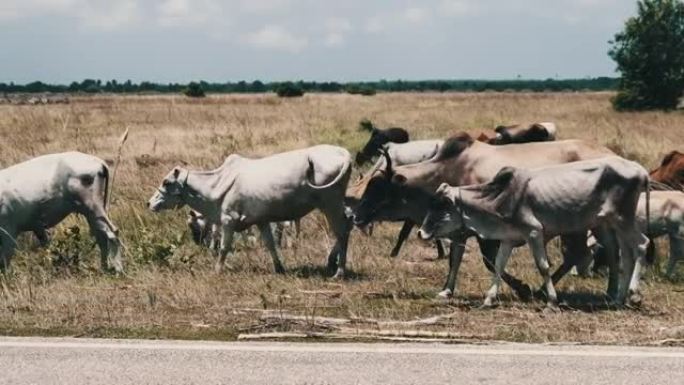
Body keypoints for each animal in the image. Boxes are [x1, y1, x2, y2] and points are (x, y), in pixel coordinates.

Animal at [149, 146, 352, 278]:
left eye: (166, 182)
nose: (149, 203)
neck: (217, 184)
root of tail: (344, 154)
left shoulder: (228, 220)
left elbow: (224, 247)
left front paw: (218, 270)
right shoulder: (261, 221)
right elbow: (270, 245)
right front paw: (279, 268)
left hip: (330, 204)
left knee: (341, 231)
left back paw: (339, 271)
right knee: (346, 227)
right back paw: (332, 263)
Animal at [352, 134, 616, 298]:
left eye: (379, 189)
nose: (356, 216)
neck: (448, 170)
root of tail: (613, 155)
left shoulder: (484, 230)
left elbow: (490, 261)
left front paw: (522, 288)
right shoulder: (458, 230)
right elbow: (455, 259)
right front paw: (446, 290)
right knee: (582, 254)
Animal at [420, 156, 648, 306]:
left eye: (441, 207)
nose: (421, 233)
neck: (501, 197)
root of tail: (640, 170)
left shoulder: (534, 232)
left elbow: (543, 266)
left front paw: (552, 301)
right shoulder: (508, 238)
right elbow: (498, 265)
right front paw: (489, 299)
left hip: (622, 220)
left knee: (641, 245)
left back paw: (633, 293)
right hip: (614, 224)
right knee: (624, 254)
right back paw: (618, 298)